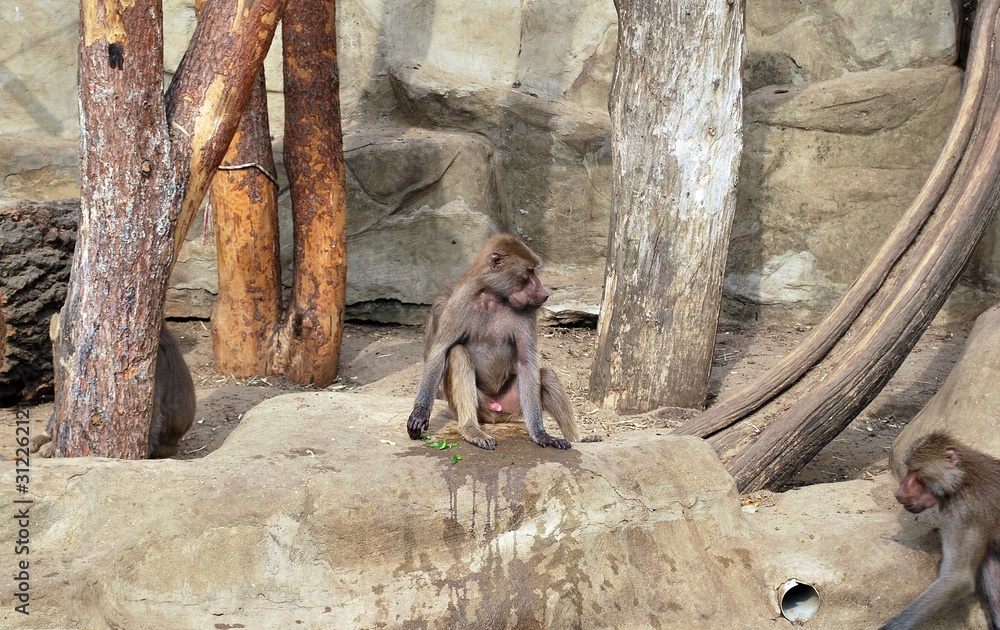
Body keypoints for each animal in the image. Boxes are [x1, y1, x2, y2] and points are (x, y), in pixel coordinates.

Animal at [404, 235, 580, 452]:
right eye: (529, 271)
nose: (545, 293)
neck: (493, 298)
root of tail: (496, 416)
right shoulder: (457, 302)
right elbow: (439, 351)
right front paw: (419, 414)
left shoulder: (528, 311)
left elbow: (526, 362)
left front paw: (541, 434)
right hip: (479, 406)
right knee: (458, 353)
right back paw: (471, 430)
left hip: (513, 406)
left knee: (546, 376)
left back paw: (577, 439)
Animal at [884, 434, 1000, 630]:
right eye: (909, 469)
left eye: (915, 471)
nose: (898, 493)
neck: (962, 478)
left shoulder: (961, 511)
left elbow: (957, 579)